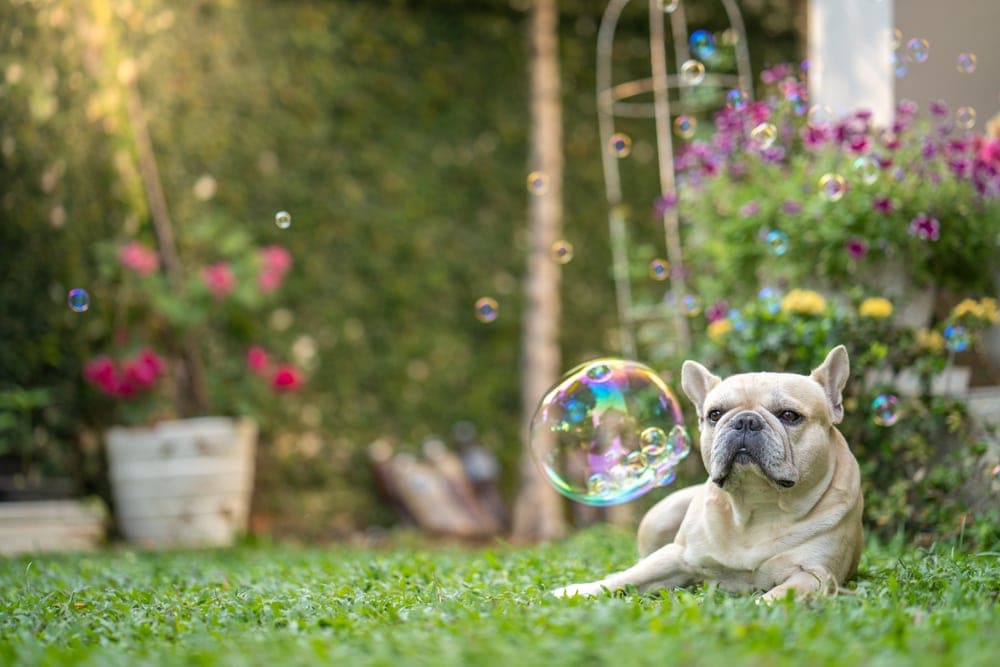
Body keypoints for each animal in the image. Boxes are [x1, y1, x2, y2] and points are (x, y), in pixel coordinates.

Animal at [552, 348, 864, 604]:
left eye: (789, 415)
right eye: (715, 414)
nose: (745, 420)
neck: (758, 507)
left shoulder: (816, 574)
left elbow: (778, 595)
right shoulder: (676, 556)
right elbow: (626, 577)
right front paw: (578, 589)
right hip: (661, 516)